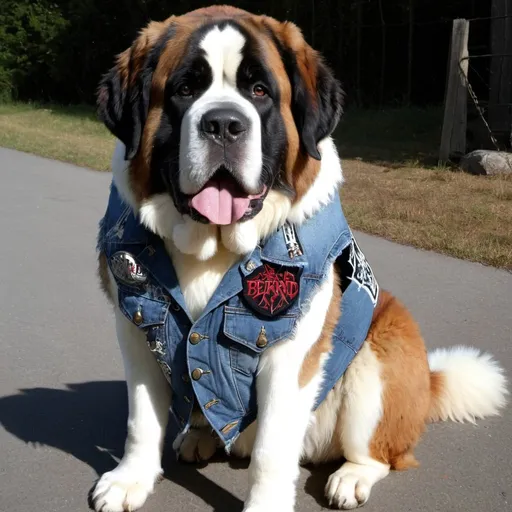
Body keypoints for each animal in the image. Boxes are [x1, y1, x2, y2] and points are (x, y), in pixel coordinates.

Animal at [93, 5, 508, 512]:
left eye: (259, 91)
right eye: (185, 90)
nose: (224, 124)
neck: (215, 248)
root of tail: (428, 381)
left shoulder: (289, 351)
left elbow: (272, 448)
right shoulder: (138, 326)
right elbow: (142, 418)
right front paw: (129, 480)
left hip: (379, 362)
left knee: (379, 454)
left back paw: (351, 477)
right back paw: (199, 436)